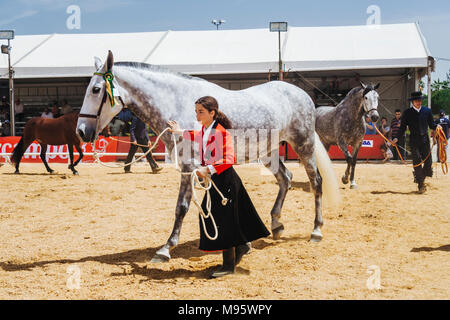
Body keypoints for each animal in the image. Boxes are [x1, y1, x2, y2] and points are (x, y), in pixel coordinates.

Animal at [77, 50, 340, 262]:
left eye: (96, 90)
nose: (81, 131)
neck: (176, 104)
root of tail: (301, 93)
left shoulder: (189, 166)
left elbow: (182, 207)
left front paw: (165, 249)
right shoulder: (200, 168)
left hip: (304, 145)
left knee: (316, 182)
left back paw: (316, 230)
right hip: (268, 153)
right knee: (285, 179)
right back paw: (276, 224)